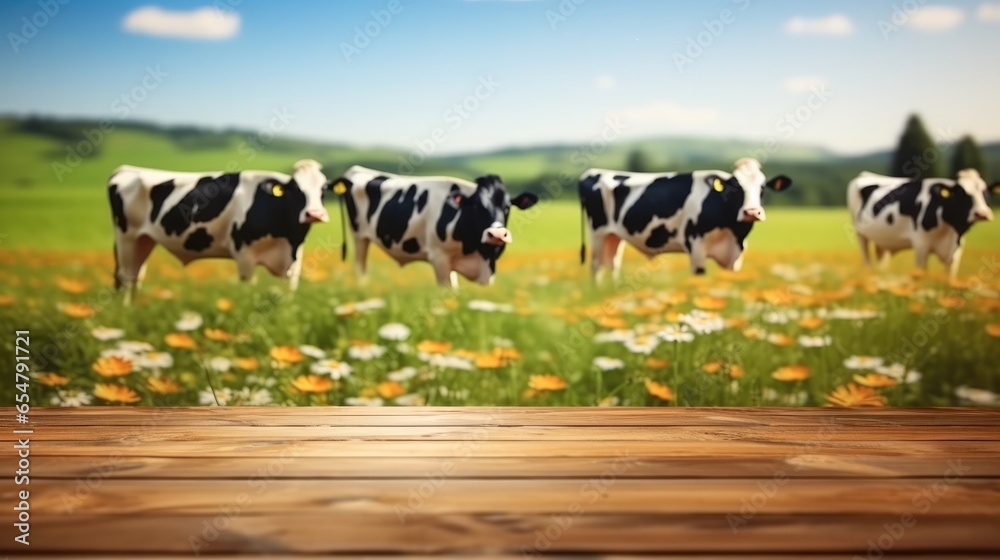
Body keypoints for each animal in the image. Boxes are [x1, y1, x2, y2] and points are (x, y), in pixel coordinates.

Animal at [108, 158, 330, 298]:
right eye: (296, 189)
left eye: (324, 189)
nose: (314, 214)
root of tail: (127, 169)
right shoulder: (244, 253)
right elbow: (248, 289)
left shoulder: (294, 262)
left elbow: (288, 295)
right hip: (126, 237)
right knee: (125, 277)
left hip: (144, 239)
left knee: (136, 275)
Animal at [332, 165, 540, 288]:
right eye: (476, 206)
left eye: (507, 207)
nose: (497, 234)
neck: (482, 256)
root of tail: (357, 169)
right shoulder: (439, 257)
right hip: (359, 236)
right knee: (360, 267)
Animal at [584, 158, 792, 278]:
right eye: (736, 187)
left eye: (763, 187)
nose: (752, 212)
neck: (734, 234)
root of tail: (593, 172)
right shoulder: (696, 246)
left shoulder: (734, 258)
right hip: (597, 233)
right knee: (596, 266)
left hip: (614, 235)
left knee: (612, 263)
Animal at [848, 168, 996, 278]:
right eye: (962, 193)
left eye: (985, 193)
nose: (982, 213)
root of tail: (865, 174)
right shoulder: (921, 244)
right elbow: (921, 272)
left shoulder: (956, 251)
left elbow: (951, 277)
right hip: (860, 234)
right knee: (866, 261)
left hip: (882, 240)